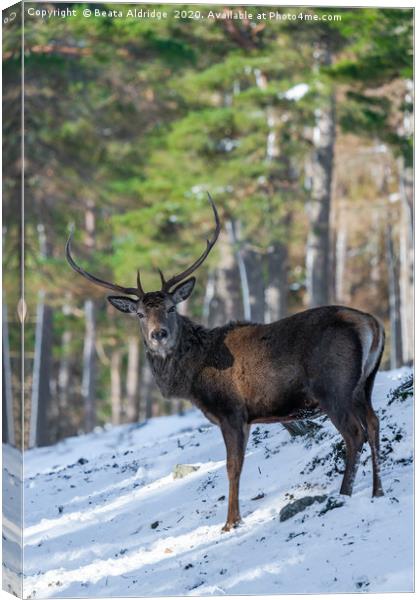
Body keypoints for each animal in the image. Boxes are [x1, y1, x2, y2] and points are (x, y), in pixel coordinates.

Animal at [65, 196, 384, 528]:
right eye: (140, 314)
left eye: (171, 308)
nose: (158, 334)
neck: (192, 378)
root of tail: (372, 323)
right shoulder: (245, 416)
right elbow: (237, 463)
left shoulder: (230, 409)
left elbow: (233, 465)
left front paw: (231, 522)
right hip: (364, 384)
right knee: (374, 423)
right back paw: (377, 491)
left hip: (333, 386)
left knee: (355, 433)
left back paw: (344, 493)